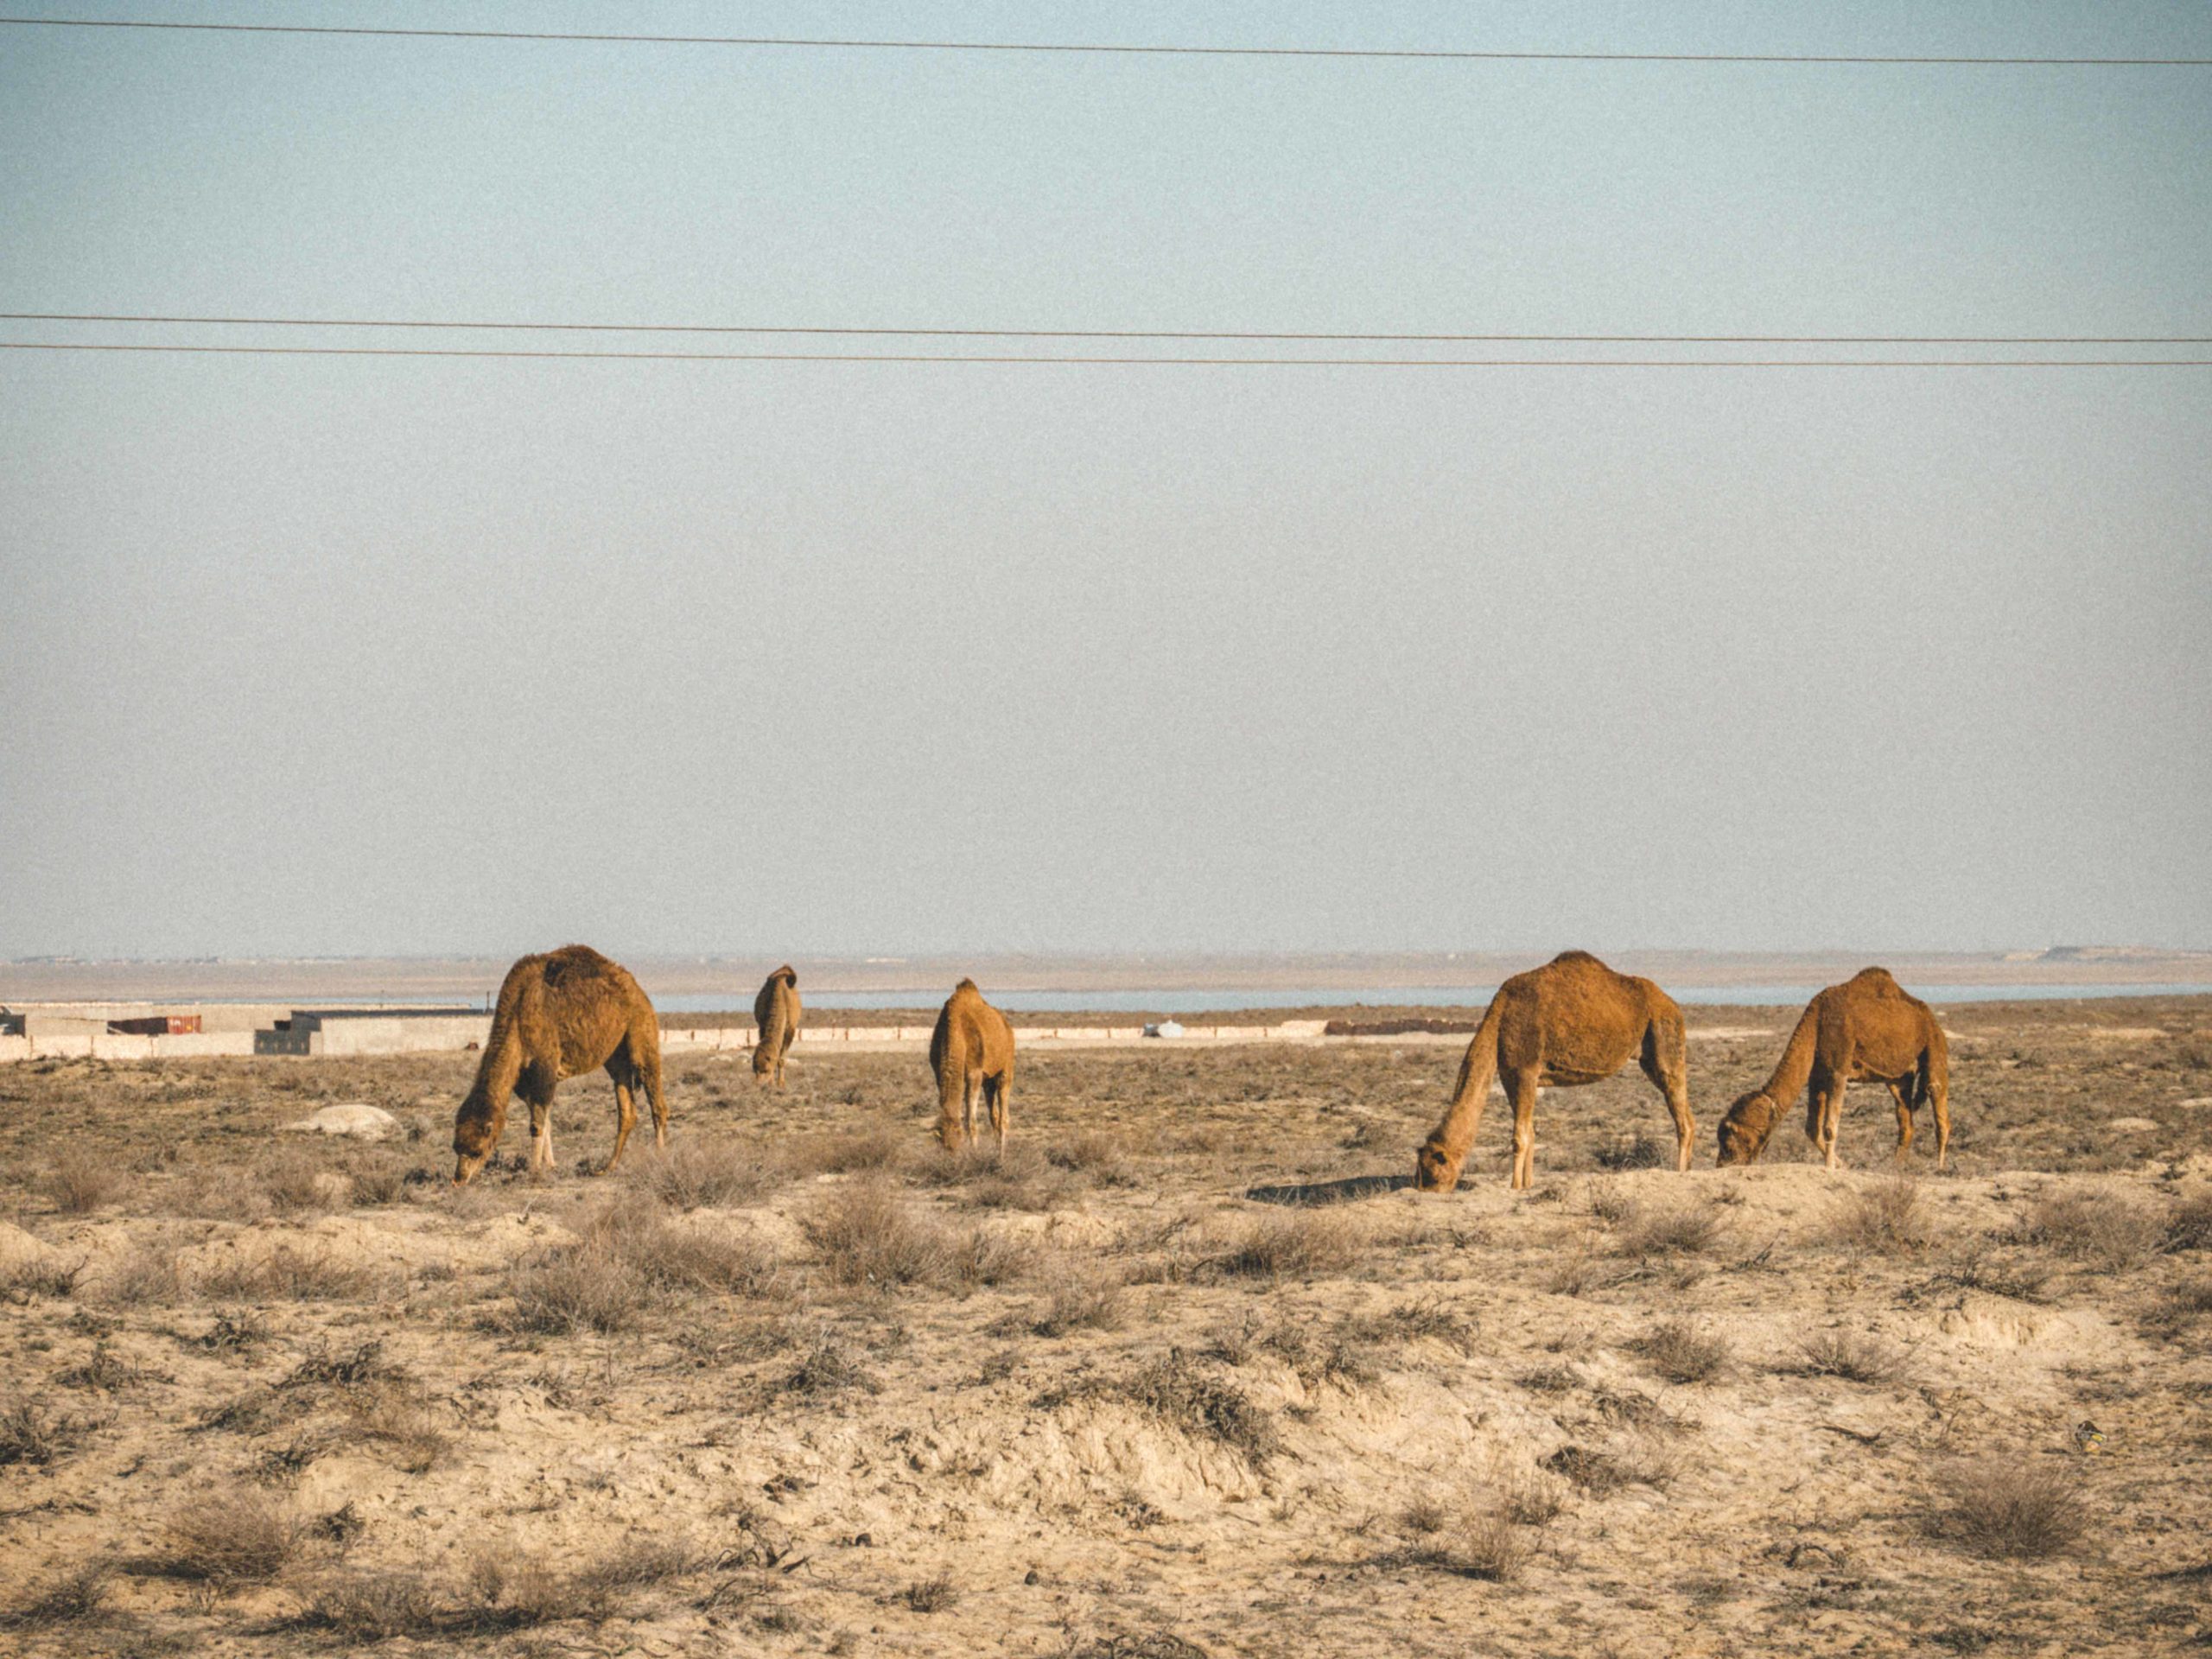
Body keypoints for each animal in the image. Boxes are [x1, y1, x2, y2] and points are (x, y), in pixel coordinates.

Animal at [444, 942, 658, 1185]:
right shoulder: (523, 1081)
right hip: (616, 1056)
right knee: (627, 1110)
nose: (458, 1180)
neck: (518, 1014)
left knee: (656, 1099)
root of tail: (636, 987)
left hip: (640, 1025)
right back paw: (608, 1167)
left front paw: (534, 1171)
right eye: (456, 1147)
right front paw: (551, 1165)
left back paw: (662, 1156)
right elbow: (546, 1122)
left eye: (476, 1151)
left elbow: (537, 1125)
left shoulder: (545, 1068)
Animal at [752, 960, 804, 1092]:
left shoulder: (790, 1029)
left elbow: (781, 1059)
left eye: (766, 1070)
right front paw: (771, 1083)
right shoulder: (762, 1025)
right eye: (755, 1069)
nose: (759, 1084)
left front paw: (781, 1084)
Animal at [929, 973, 1013, 1159]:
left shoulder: (974, 1073)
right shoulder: (938, 1074)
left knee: (1004, 1115)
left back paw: (1002, 1156)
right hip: (988, 1081)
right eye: (943, 1149)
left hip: (1006, 1067)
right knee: (993, 1114)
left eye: (957, 1149)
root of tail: (1006, 1024)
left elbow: (971, 1121)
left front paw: (974, 1154)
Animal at [1415, 955, 1689, 1203]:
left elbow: (1519, 1137)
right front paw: (1528, 1184)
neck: (1499, 1022)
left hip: (1663, 1037)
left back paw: (1680, 1172)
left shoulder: (1525, 1070)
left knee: (1683, 1115)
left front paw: (1514, 1186)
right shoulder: (1509, 1075)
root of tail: (1673, 1006)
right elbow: (1530, 1131)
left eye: (1432, 1173)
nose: (1424, 1192)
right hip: (1649, 1055)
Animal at [1716, 969, 1946, 1176]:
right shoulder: (1817, 1075)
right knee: (1906, 1121)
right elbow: (1812, 1128)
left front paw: (1829, 1166)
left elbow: (1829, 1127)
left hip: (1934, 1040)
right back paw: (1895, 1167)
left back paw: (1940, 1167)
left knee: (1937, 1097)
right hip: (1898, 1077)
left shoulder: (1838, 1070)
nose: (1722, 1165)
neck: (1817, 1023)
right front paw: (1842, 1164)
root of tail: (1928, 1014)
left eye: (1733, 1141)